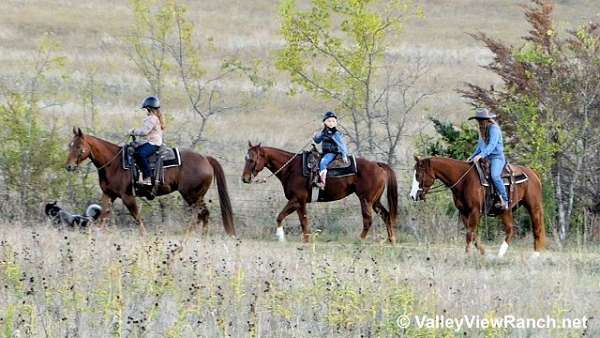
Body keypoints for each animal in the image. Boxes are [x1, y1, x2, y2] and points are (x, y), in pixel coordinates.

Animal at [64, 126, 234, 235]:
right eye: (69, 145)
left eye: (79, 146)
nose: (69, 166)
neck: (114, 163)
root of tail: (206, 159)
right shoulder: (108, 195)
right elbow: (103, 216)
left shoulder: (127, 196)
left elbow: (137, 216)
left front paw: (144, 235)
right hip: (196, 196)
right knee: (204, 214)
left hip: (192, 195)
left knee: (201, 214)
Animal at [239, 143, 398, 243]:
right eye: (245, 158)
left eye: (252, 159)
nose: (245, 178)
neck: (291, 168)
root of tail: (378, 165)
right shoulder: (299, 202)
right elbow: (302, 221)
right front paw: (305, 240)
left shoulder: (297, 199)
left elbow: (283, 217)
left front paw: (282, 238)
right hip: (375, 201)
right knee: (386, 216)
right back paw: (392, 240)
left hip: (366, 200)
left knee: (368, 220)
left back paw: (360, 240)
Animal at [410, 157, 548, 258]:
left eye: (418, 175)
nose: (412, 195)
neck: (464, 180)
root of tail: (533, 173)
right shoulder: (464, 212)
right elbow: (472, 233)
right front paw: (483, 252)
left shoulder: (475, 211)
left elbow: (469, 234)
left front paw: (467, 255)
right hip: (506, 211)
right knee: (510, 230)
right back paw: (500, 254)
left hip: (533, 206)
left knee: (537, 227)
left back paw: (534, 255)